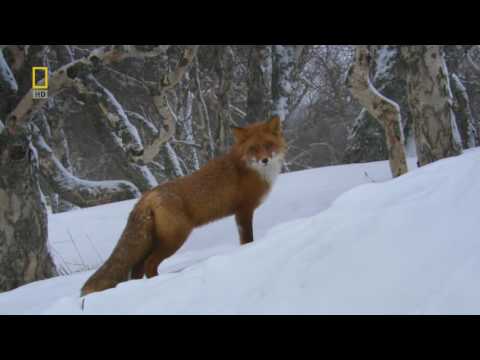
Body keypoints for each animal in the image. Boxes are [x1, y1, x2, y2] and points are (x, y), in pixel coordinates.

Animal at [80, 116, 286, 296]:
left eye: (268, 145)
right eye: (253, 149)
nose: (264, 160)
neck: (250, 169)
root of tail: (147, 196)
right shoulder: (243, 210)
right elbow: (247, 239)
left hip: (152, 241)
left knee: (137, 269)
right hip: (175, 238)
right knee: (149, 264)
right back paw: (158, 282)